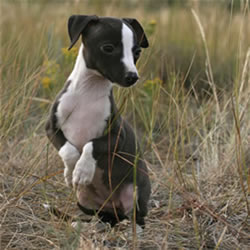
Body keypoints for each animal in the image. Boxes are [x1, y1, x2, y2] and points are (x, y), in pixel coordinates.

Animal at [45, 14, 150, 228]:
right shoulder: (51, 128)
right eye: (108, 48)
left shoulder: (117, 137)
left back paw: (132, 227)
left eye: (137, 52)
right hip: (84, 198)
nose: (132, 77)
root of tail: (114, 208)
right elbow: (68, 150)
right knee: (101, 216)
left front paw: (82, 170)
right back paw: (83, 224)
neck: (88, 91)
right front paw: (71, 170)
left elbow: (92, 144)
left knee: (135, 217)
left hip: (134, 193)